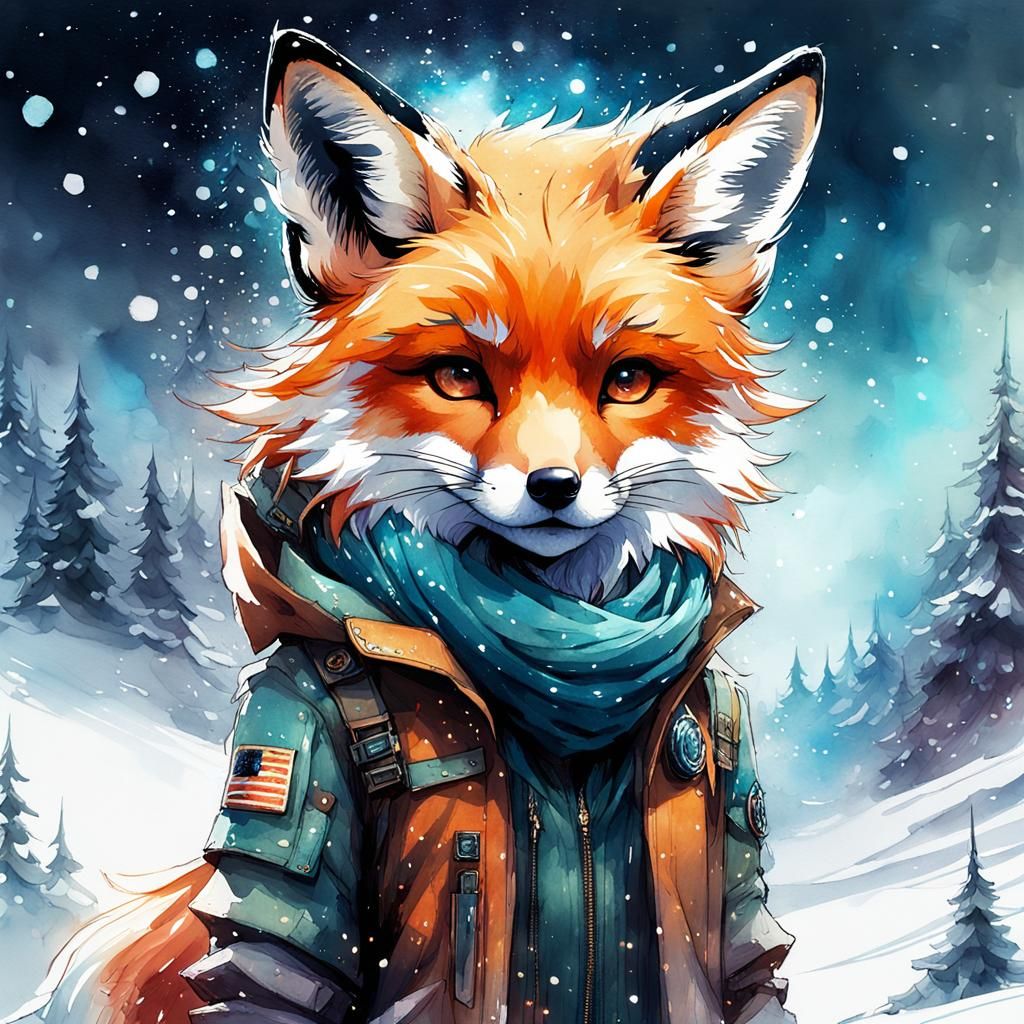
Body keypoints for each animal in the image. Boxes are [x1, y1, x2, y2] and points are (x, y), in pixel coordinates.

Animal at [20, 27, 823, 1024]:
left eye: (628, 380)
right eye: (458, 375)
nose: (555, 486)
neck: (560, 664)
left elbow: (748, 950)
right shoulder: (293, 720)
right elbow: (275, 958)